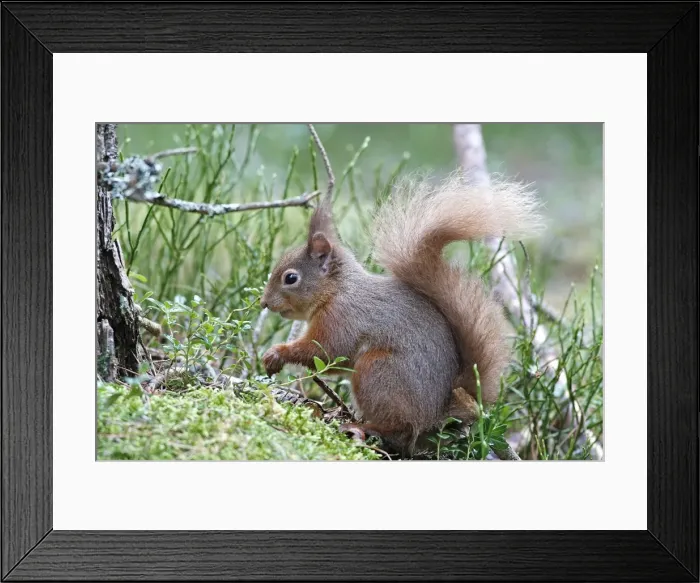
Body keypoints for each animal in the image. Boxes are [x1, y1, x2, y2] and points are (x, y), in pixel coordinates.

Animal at [260, 170, 543, 457]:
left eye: (291, 278)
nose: (264, 303)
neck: (337, 290)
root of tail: (439, 416)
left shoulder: (342, 317)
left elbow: (327, 352)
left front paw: (276, 353)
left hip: (378, 371)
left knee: (400, 429)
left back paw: (363, 427)